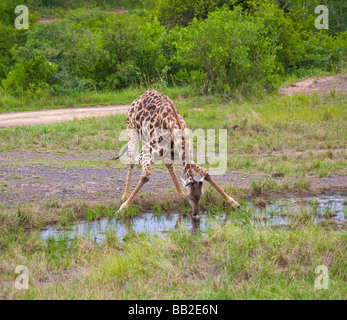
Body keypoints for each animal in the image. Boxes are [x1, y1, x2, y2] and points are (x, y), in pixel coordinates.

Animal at [116, 90, 239, 220]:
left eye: (201, 196)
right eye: (190, 197)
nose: (196, 215)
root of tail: (142, 94)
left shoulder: (182, 154)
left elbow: (205, 172)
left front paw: (233, 202)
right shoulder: (144, 154)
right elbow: (145, 176)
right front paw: (122, 208)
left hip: (165, 151)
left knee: (168, 164)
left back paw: (180, 194)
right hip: (131, 129)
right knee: (130, 160)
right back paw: (124, 196)